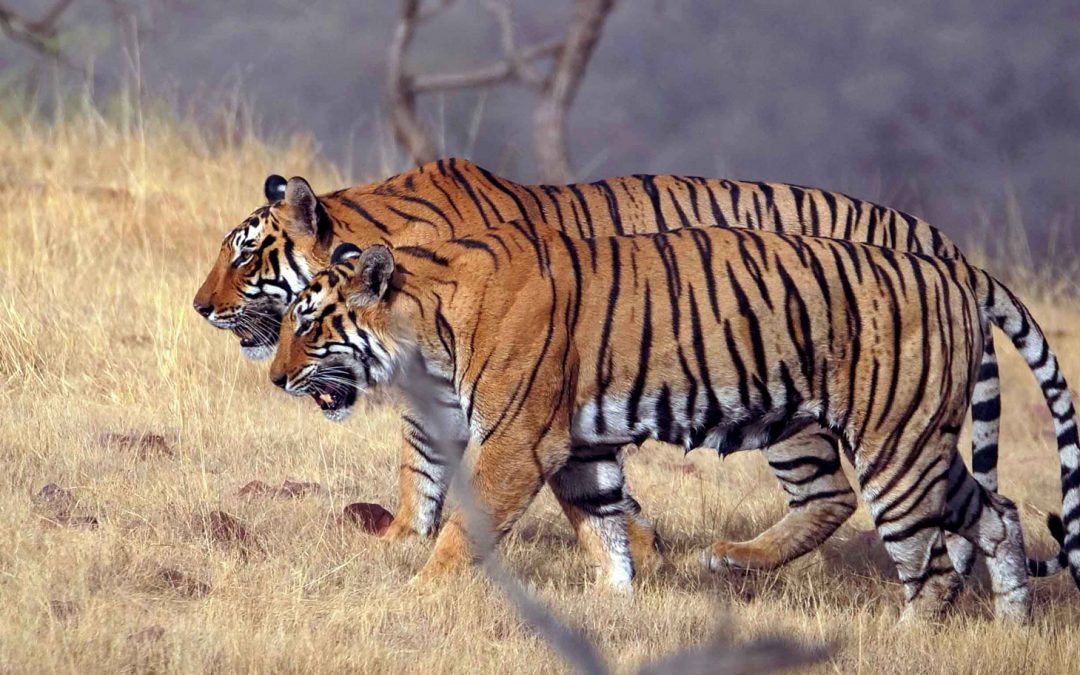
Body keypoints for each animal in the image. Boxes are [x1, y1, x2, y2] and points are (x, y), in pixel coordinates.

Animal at [193, 159, 1007, 576]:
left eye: (245, 254)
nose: (200, 306)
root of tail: (944, 245)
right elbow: (424, 470)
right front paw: (398, 538)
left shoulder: (510, 395)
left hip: (799, 403)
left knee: (833, 494)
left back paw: (732, 559)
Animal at [266, 222, 1080, 623]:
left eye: (307, 324)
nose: (273, 378)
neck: (430, 320)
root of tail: (955, 269)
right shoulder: (578, 445)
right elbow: (601, 524)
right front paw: (616, 601)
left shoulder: (517, 442)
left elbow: (467, 528)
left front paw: (417, 595)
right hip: (920, 443)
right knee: (999, 512)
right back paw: (1012, 623)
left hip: (893, 450)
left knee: (926, 559)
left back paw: (906, 636)